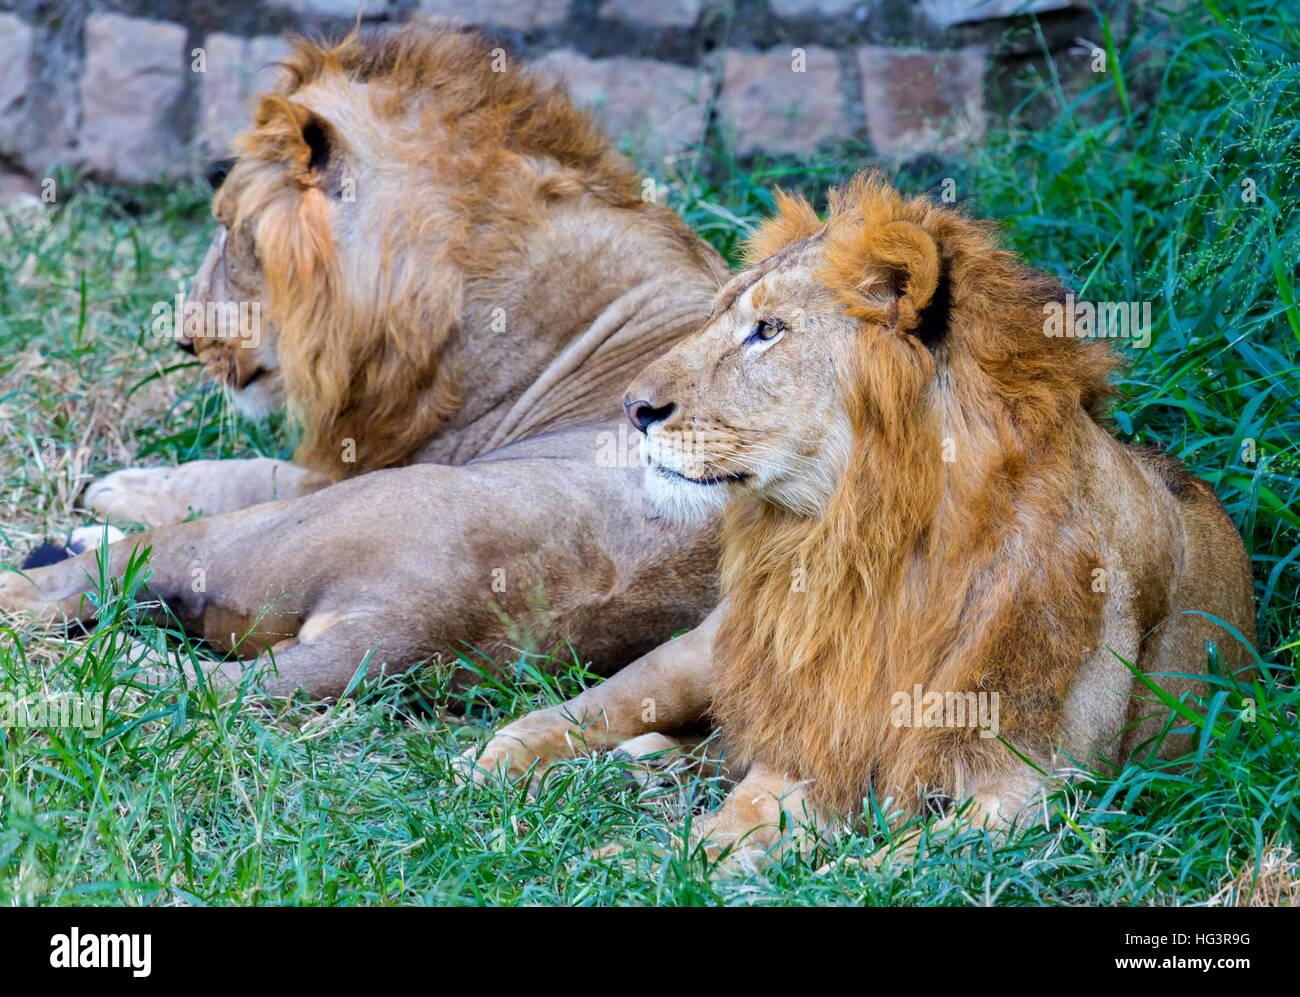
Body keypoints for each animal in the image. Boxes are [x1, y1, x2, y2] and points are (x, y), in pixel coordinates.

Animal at [2, 25, 733, 707]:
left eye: (231, 231)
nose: (186, 342)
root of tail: (399, 628)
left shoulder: (366, 461)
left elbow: (243, 471)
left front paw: (114, 486)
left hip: (265, 535)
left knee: (91, 578)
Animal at [467, 171, 1258, 863]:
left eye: (768, 330)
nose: (633, 408)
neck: (878, 542)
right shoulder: (813, 738)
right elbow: (738, 820)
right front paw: (656, 863)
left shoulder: (1036, 782)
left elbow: (908, 862)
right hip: (703, 651)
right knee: (600, 705)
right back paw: (500, 761)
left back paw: (639, 770)